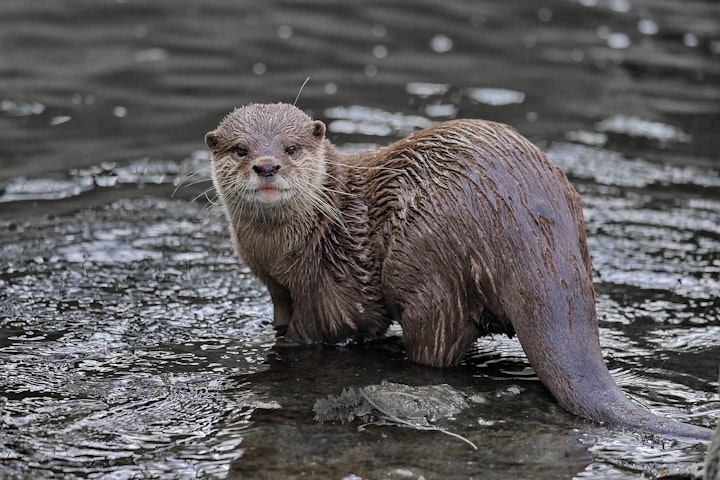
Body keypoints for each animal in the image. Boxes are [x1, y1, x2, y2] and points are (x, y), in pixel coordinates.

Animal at [205, 102, 712, 438]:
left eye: (291, 148)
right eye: (239, 148)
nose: (266, 165)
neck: (292, 244)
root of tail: (534, 237)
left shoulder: (332, 281)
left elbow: (332, 327)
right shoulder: (276, 285)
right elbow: (281, 315)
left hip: (427, 268)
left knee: (437, 343)